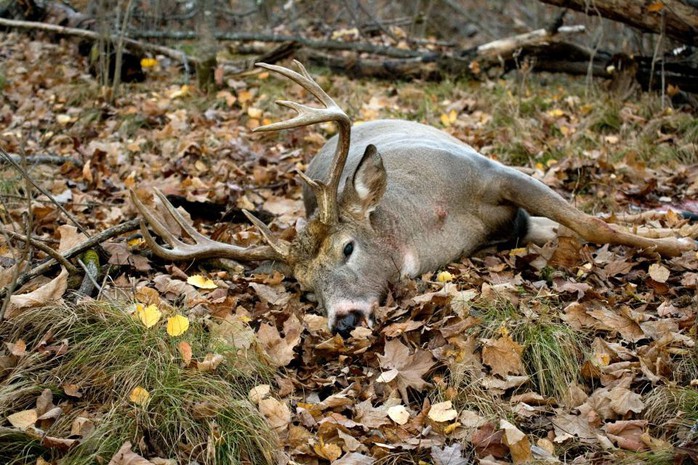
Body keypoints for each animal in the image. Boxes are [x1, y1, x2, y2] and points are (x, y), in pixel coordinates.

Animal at [129, 61, 692, 338]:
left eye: (348, 247)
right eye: (304, 286)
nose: (344, 320)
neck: (433, 224)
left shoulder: (496, 173)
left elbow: (596, 224)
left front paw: (680, 245)